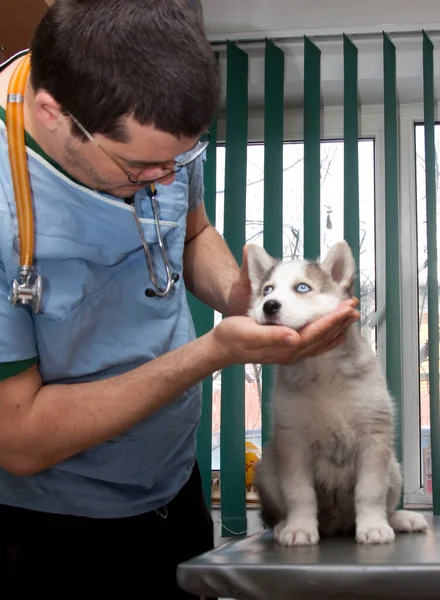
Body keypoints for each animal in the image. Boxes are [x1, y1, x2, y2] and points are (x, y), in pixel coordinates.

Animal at [249, 241, 428, 548]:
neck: (322, 368)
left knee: (385, 502)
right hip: (268, 467)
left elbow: (370, 491)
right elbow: (299, 493)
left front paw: (373, 526)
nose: (269, 306)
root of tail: (336, 522)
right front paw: (299, 527)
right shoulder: (293, 443)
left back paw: (398, 519)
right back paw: (284, 525)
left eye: (303, 288)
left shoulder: (373, 437)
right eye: (267, 290)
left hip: (393, 467)